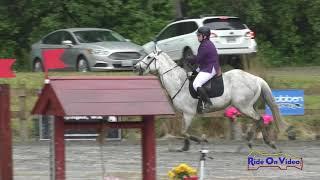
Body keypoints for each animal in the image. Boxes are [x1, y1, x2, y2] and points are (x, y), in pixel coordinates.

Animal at [134, 47, 286, 152]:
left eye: (148, 57)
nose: (135, 67)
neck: (178, 82)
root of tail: (256, 78)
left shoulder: (188, 113)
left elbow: (184, 131)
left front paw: (199, 140)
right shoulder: (183, 114)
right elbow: (183, 131)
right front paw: (185, 147)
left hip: (243, 107)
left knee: (259, 119)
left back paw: (264, 142)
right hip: (247, 106)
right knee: (258, 120)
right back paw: (252, 141)